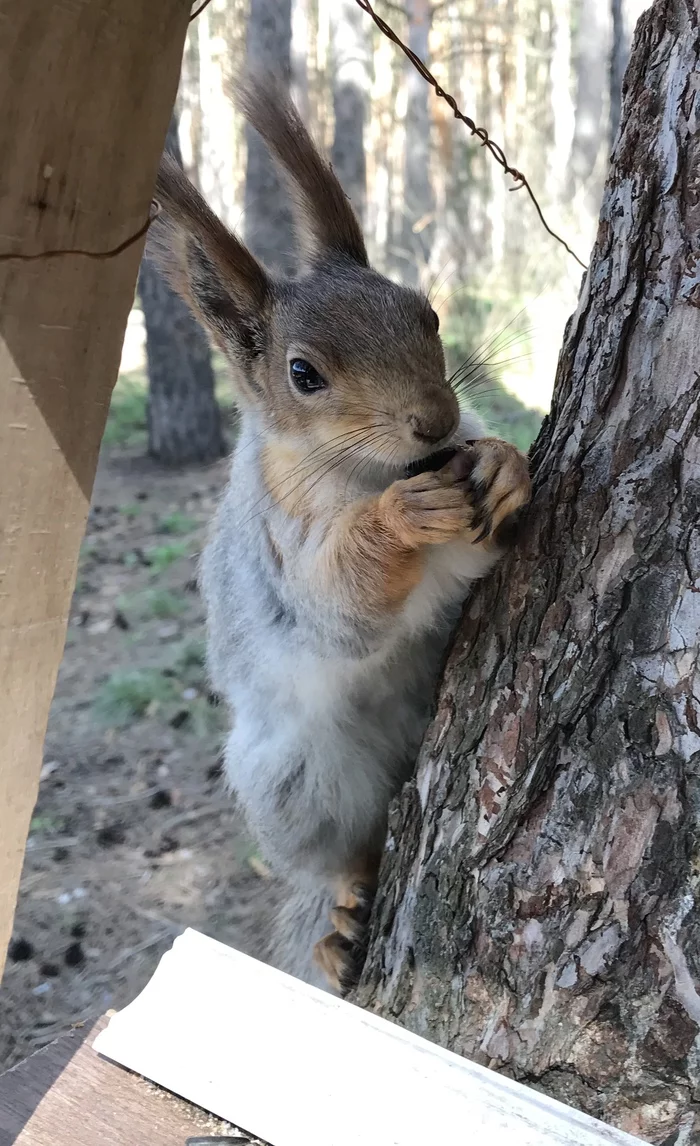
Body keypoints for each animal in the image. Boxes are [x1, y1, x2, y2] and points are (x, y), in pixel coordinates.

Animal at [147, 76, 531, 999]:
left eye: (427, 313)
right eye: (303, 374)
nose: (435, 418)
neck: (377, 469)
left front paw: (502, 464)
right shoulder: (283, 546)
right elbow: (340, 607)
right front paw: (396, 521)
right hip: (294, 778)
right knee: (338, 856)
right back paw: (342, 923)